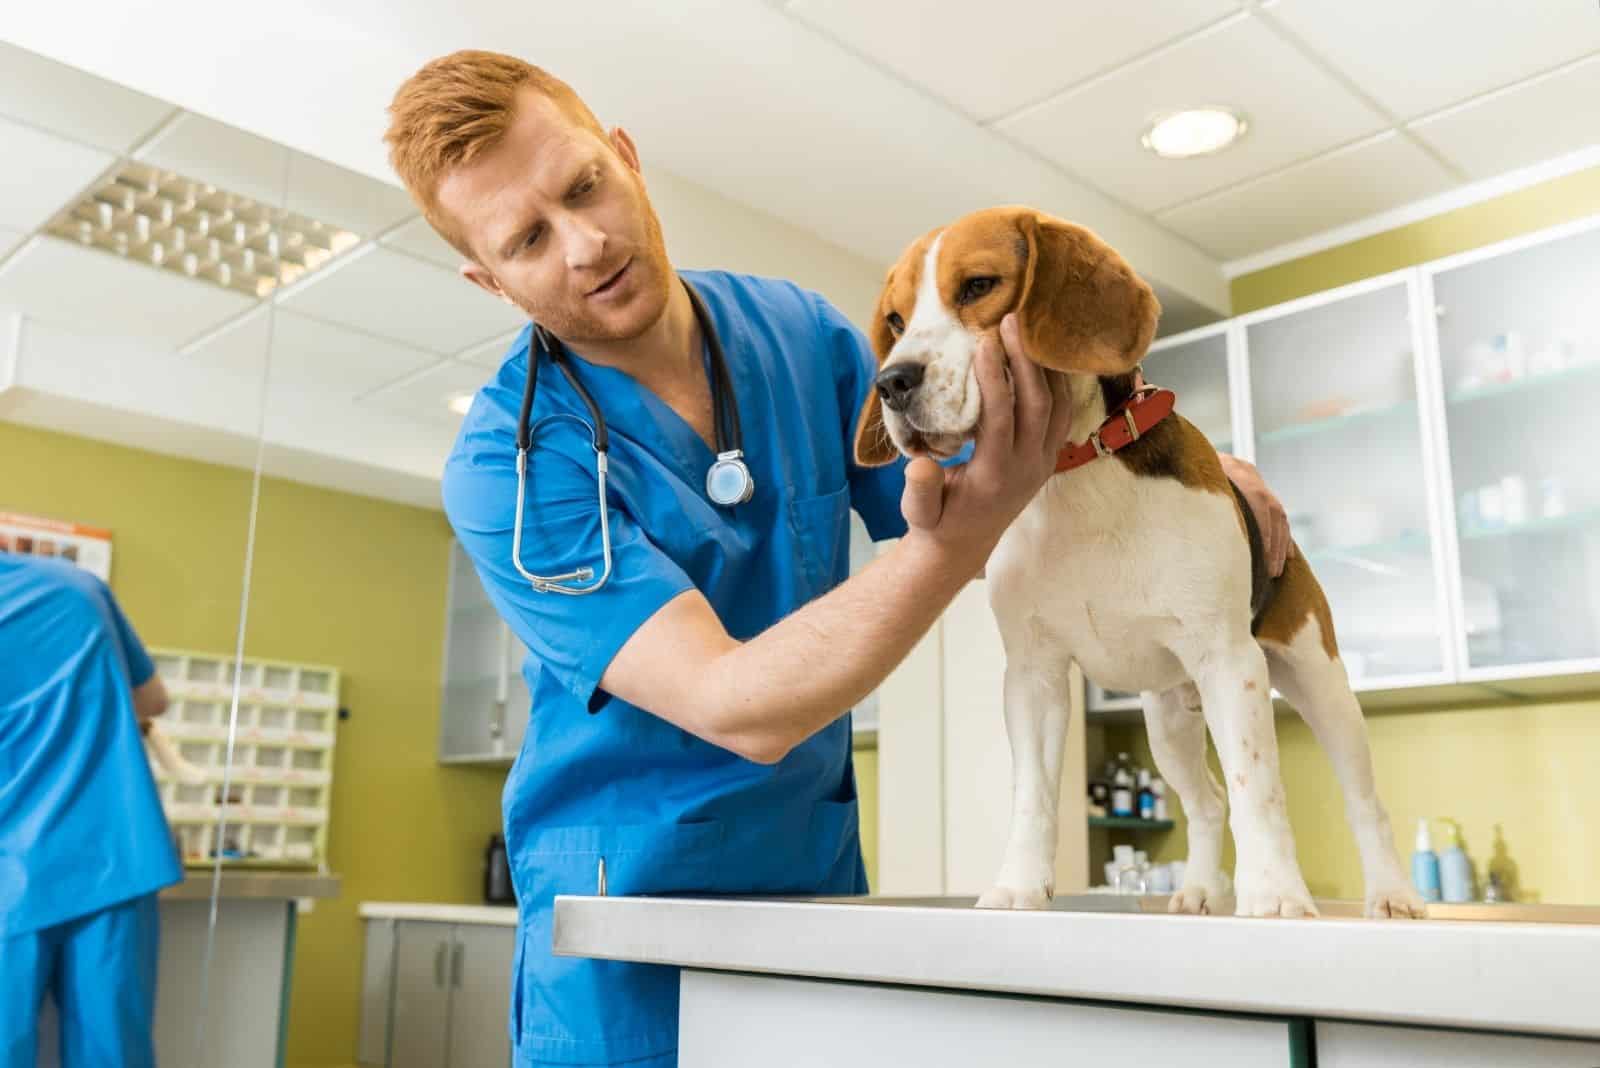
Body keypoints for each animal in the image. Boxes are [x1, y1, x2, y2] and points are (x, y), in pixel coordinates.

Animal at [864, 207, 1427, 920]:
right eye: (896, 320)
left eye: (977, 286)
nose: (891, 382)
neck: (1078, 471)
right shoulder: (1034, 675)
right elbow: (1034, 795)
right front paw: (1019, 884)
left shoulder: (1229, 662)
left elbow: (1258, 785)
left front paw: (1275, 892)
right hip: (1167, 719)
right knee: (1208, 802)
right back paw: (1200, 890)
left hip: (1319, 683)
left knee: (1361, 800)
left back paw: (1392, 894)